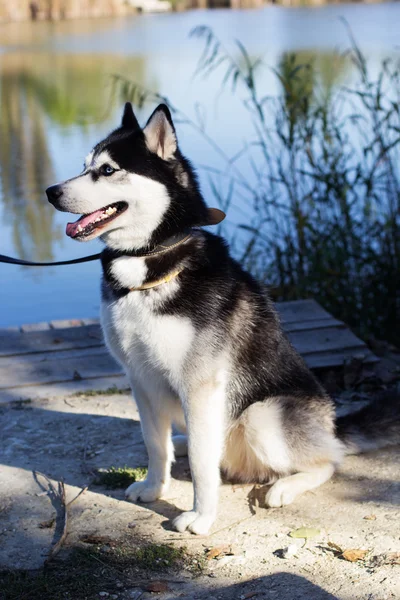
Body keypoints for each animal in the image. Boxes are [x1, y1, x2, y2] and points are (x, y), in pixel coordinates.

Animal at [46, 102, 396, 536]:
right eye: (84, 166)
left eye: (108, 170)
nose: (51, 192)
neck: (151, 263)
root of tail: (332, 426)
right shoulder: (140, 378)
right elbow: (153, 443)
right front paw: (154, 487)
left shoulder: (200, 385)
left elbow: (201, 462)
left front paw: (201, 516)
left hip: (262, 417)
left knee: (329, 460)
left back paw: (285, 486)